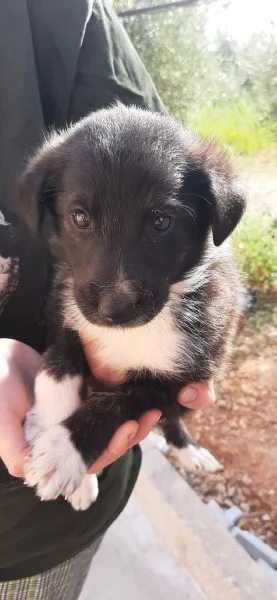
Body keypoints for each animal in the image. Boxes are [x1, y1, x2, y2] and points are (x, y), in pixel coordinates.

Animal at [16, 104, 244, 510]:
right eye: (79, 217)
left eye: (161, 222)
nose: (116, 310)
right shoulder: (64, 311)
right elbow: (56, 368)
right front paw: (47, 426)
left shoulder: (178, 379)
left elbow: (117, 403)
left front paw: (63, 451)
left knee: (171, 419)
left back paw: (188, 450)